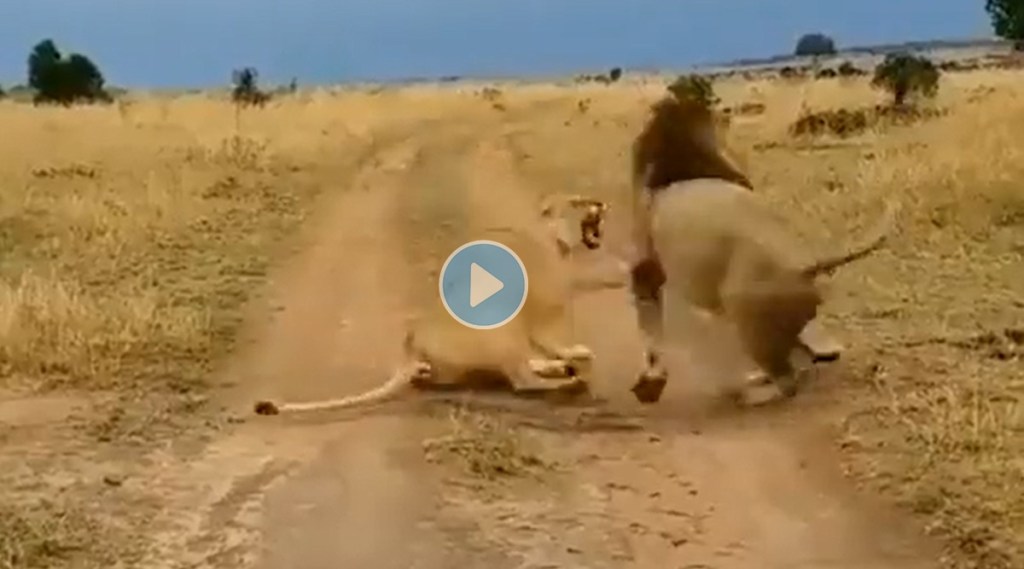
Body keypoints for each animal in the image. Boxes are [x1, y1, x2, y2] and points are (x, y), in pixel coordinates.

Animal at [253, 146, 622, 415]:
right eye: (578, 202)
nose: (601, 202)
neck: (551, 235)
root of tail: (411, 346)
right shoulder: (546, 312)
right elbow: (557, 338)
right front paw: (576, 355)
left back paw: (560, 368)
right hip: (499, 328)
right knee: (523, 379)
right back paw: (567, 379)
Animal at [622, 95, 897, 405]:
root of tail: (804, 266)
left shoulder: (646, 266)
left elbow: (651, 323)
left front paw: (651, 383)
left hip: (751, 324)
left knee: (787, 382)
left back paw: (743, 391)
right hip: (781, 321)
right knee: (801, 362)